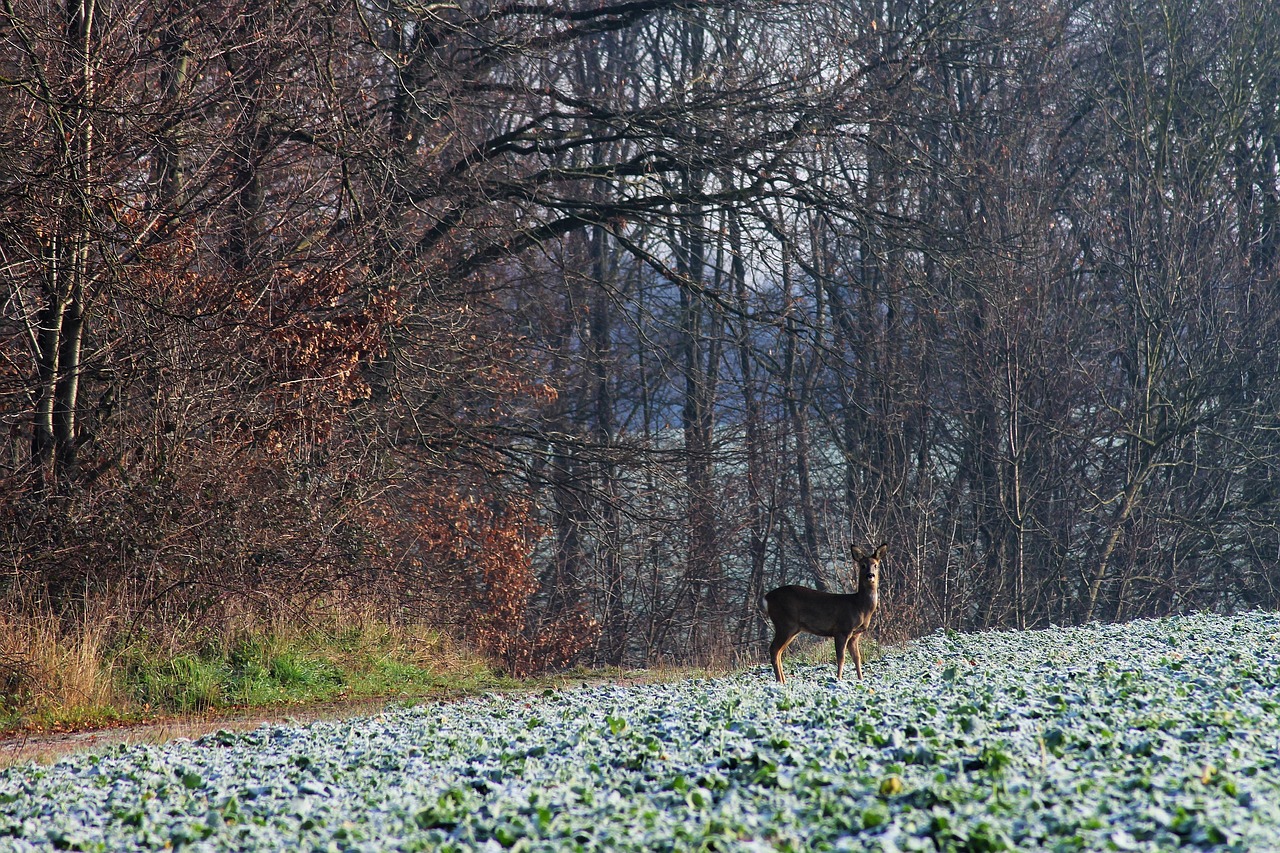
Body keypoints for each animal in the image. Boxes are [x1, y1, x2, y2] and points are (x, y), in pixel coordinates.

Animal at [757, 540, 890, 681]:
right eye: (863, 565)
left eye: (875, 565)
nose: (870, 575)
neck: (859, 606)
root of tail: (767, 598)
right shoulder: (842, 629)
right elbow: (841, 658)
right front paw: (838, 679)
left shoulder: (855, 635)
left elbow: (857, 658)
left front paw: (861, 679)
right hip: (785, 623)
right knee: (774, 649)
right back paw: (779, 681)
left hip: (793, 628)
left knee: (779, 652)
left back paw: (783, 680)